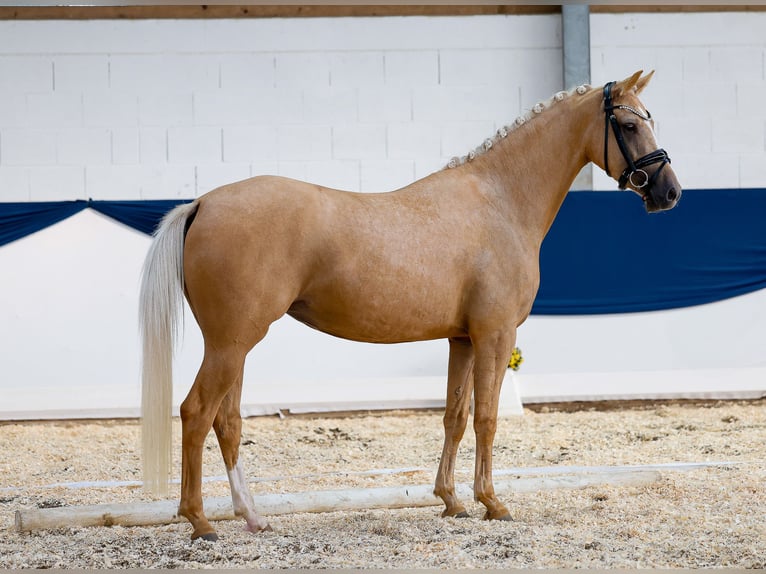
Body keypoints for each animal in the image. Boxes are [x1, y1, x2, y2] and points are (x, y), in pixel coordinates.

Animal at [140, 70, 684, 544]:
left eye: (650, 117)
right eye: (629, 124)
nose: (669, 192)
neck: (501, 200)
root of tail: (203, 204)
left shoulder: (462, 338)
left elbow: (455, 416)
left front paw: (452, 501)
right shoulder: (495, 335)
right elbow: (487, 418)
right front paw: (493, 503)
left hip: (236, 346)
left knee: (227, 422)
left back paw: (252, 516)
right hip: (231, 344)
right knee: (196, 413)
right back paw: (199, 521)